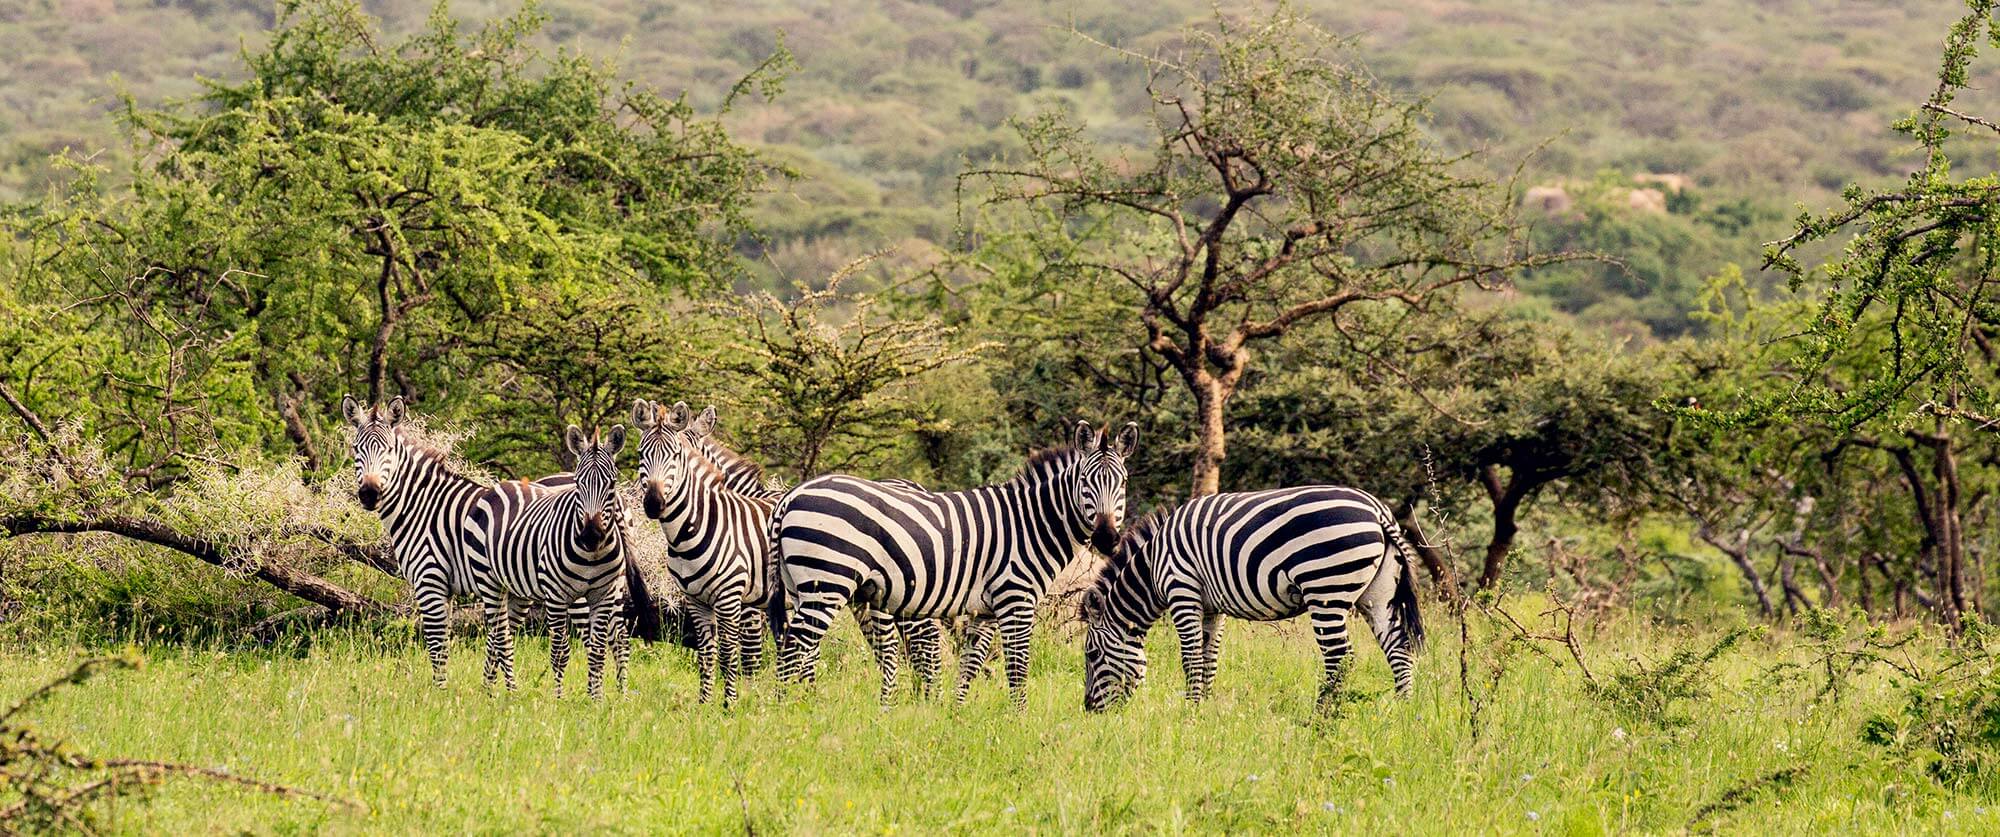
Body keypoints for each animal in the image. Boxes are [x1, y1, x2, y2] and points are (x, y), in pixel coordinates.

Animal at [464, 424, 628, 700]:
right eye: (578, 482)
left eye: (612, 483)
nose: (591, 535)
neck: (592, 555)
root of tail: (498, 487)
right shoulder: (556, 597)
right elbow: (560, 652)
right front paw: (559, 698)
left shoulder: (603, 594)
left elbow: (597, 651)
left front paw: (596, 699)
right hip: (489, 581)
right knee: (500, 636)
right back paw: (504, 691)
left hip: (516, 589)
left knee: (499, 636)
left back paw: (489, 688)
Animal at [768, 418, 1136, 704]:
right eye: (1085, 482)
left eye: (1122, 482)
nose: (1106, 538)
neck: (1030, 522)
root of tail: (791, 495)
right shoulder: (1016, 599)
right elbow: (1018, 667)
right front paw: (1020, 720)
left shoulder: (985, 610)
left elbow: (971, 663)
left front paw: (955, 715)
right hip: (827, 583)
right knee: (794, 648)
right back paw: (784, 711)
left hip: (802, 587)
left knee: (798, 648)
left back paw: (802, 706)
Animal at [1080, 486, 1424, 716]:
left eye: (1092, 654)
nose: (1089, 709)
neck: (1152, 567)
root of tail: (1377, 509)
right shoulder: (1212, 607)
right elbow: (1208, 659)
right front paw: (1203, 709)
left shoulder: (1182, 591)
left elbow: (1190, 658)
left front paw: (1189, 711)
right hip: (1377, 596)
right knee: (1398, 650)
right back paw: (1402, 712)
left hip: (1326, 590)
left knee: (1340, 657)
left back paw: (1323, 717)